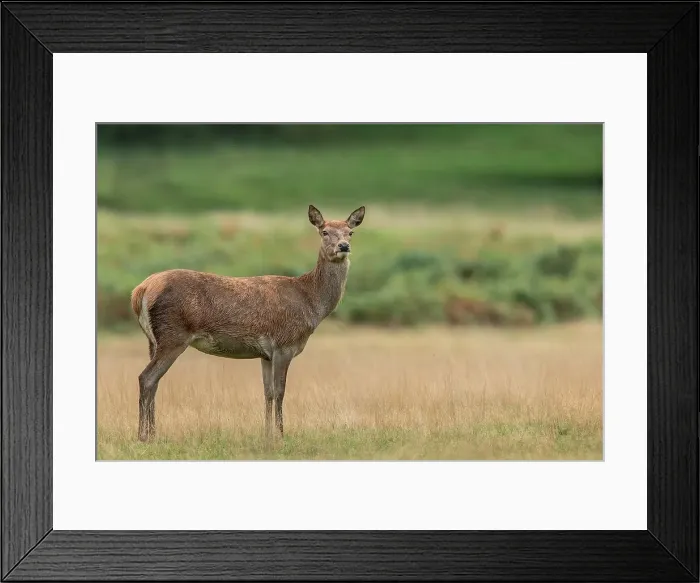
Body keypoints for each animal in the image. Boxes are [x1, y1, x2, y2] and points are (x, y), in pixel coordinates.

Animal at [129, 205, 365, 442]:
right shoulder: (284, 344)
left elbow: (268, 392)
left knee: (154, 381)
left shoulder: (265, 354)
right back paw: (144, 436)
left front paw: (267, 434)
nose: (343, 246)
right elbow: (280, 391)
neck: (310, 302)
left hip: (153, 340)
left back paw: (153, 434)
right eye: (324, 231)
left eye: (350, 232)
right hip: (173, 335)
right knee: (146, 378)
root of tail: (140, 291)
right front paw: (281, 434)